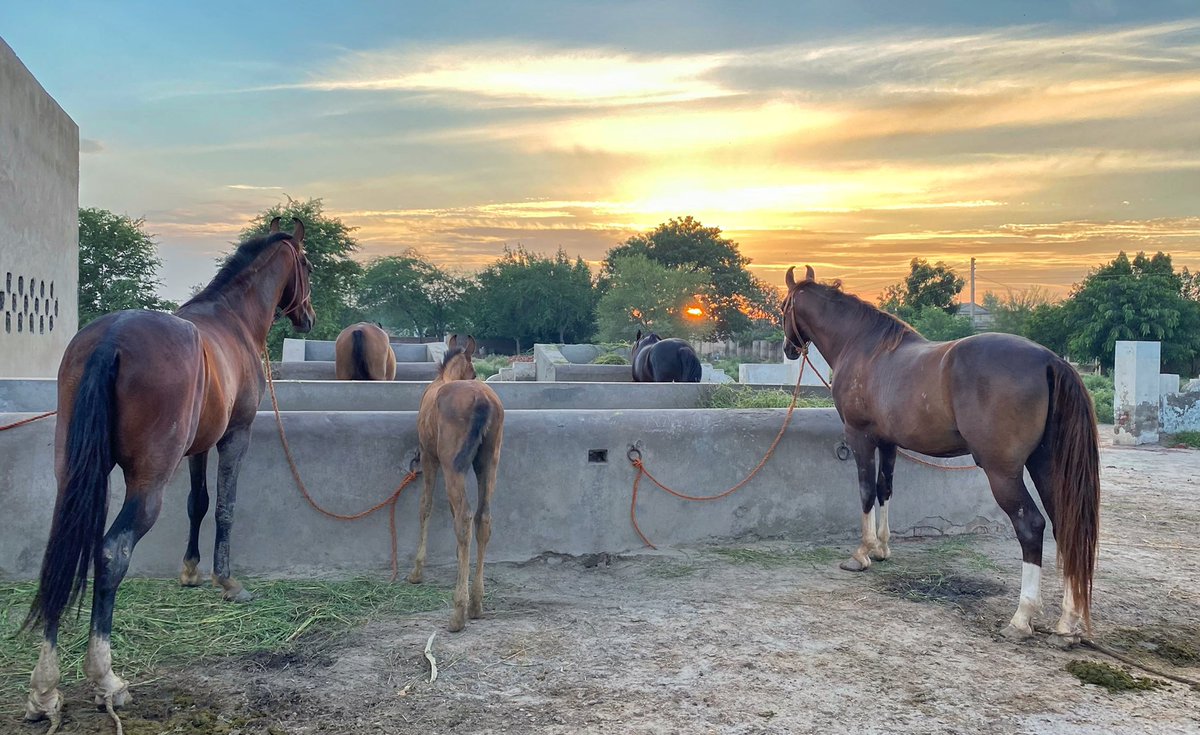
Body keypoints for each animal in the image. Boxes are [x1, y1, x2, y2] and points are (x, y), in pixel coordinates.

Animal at [22, 218, 314, 723]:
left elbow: (198, 503)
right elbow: (224, 507)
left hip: (75, 478)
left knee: (60, 554)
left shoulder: (199, 446)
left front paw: (190, 571)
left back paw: (45, 690)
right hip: (147, 483)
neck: (233, 321)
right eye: (309, 267)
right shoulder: (234, 436)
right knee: (111, 553)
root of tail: (112, 339)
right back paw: (105, 679)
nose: (308, 317)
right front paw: (226, 581)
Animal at [407, 335, 504, 632]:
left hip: (452, 465)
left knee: (464, 516)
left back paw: (458, 611)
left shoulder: (429, 457)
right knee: (483, 518)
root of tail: (483, 400)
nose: (475, 376)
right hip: (488, 462)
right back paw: (475, 603)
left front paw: (417, 571)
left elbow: (425, 506)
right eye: (473, 371)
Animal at [780, 265, 1099, 644]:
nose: (788, 349)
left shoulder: (861, 438)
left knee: (1031, 525)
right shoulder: (888, 443)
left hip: (1003, 472)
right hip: (1046, 467)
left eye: (783, 306)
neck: (863, 348)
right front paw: (882, 549)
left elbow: (866, 492)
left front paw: (861, 554)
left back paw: (1021, 618)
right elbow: (885, 489)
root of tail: (1050, 361)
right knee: (1065, 526)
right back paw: (1067, 622)